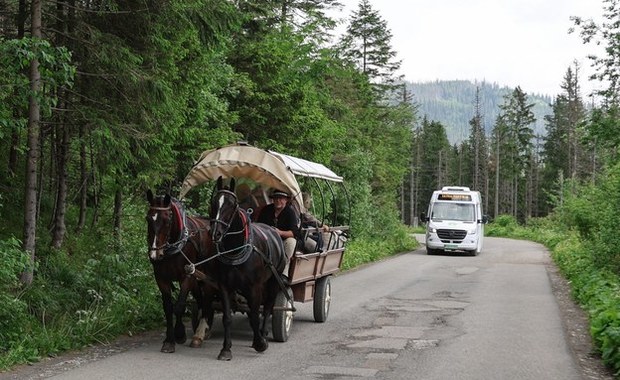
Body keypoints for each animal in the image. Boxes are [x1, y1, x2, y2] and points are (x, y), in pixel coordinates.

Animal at [145, 190, 216, 354]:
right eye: (148, 219)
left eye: (167, 220)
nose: (154, 255)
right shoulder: (161, 278)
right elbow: (168, 308)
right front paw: (168, 340)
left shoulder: (187, 276)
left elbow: (179, 306)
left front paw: (179, 334)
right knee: (201, 300)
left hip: (206, 276)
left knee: (208, 299)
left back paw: (200, 332)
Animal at [207, 177, 286, 360]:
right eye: (214, 202)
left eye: (232, 205)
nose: (216, 233)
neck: (236, 250)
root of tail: (273, 230)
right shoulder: (224, 286)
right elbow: (228, 317)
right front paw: (225, 349)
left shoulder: (253, 287)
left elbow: (256, 316)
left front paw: (260, 343)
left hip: (274, 280)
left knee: (268, 306)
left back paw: (263, 334)